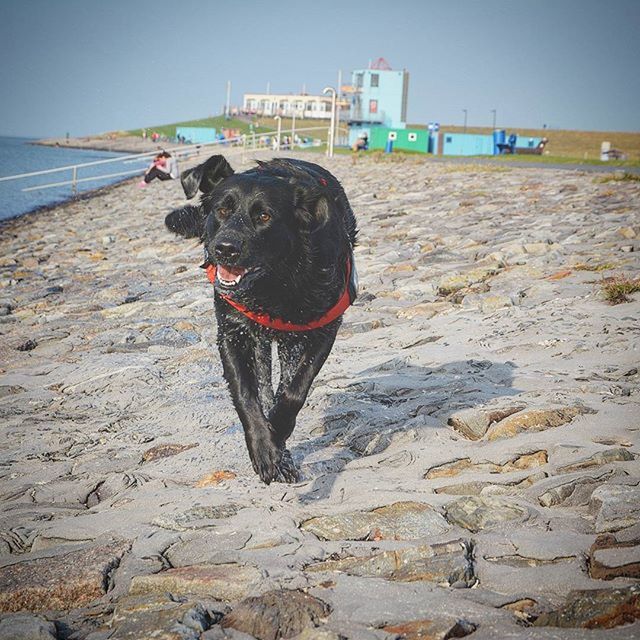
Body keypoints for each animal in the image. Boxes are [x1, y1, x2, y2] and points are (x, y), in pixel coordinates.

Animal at [165, 156, 358, 484]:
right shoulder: (232, 333)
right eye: (222, 210)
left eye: (264, 216)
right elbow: (247, 394)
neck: (275, 284)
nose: (225, 249)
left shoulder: (324, 329)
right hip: (260, 342)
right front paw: (265, 448)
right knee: (265, 387)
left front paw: (277, 435)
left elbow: (295, 390)